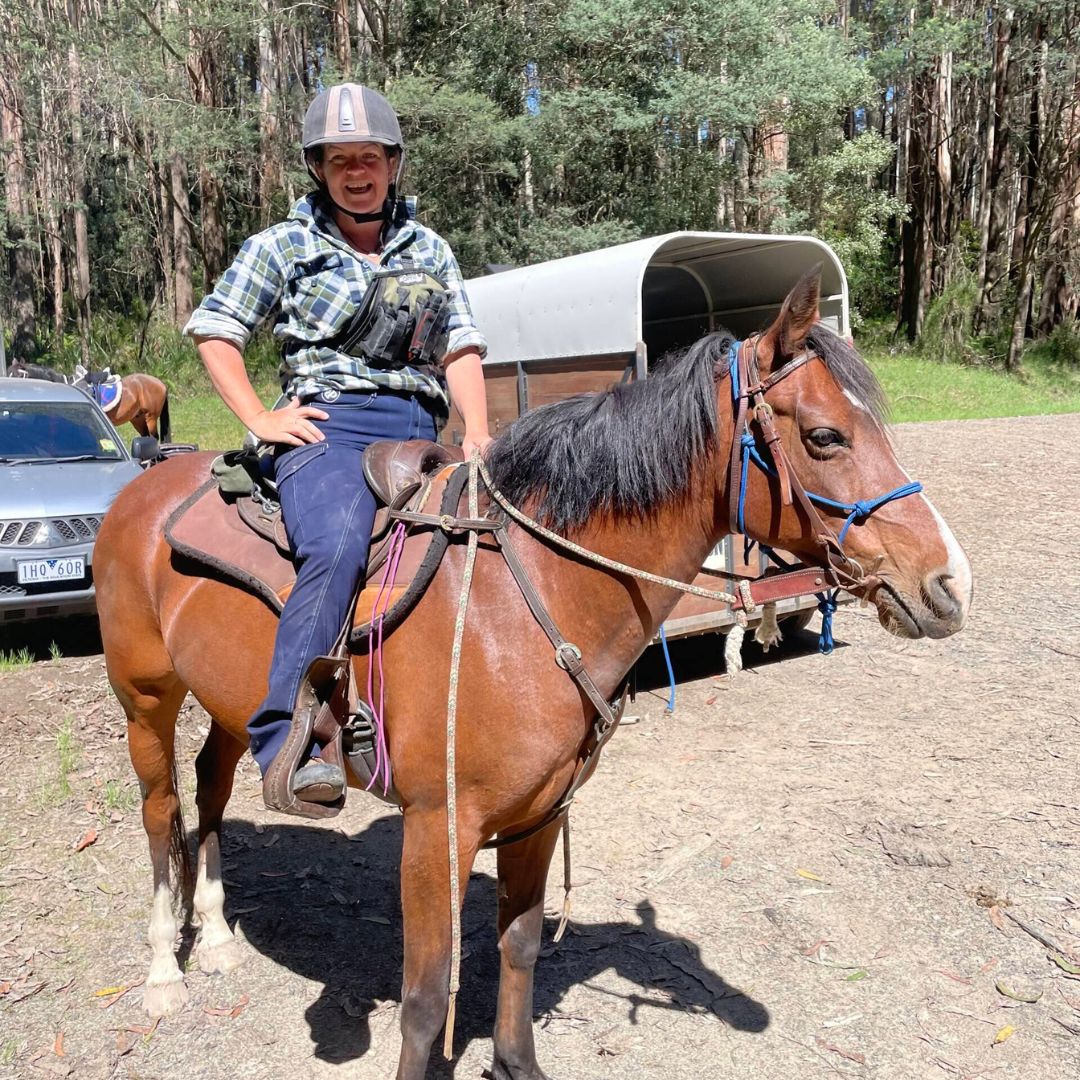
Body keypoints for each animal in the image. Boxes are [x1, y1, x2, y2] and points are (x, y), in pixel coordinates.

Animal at [92, 272, 972, 1080]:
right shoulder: (437, 830)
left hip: (228, 705)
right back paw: (164, 969)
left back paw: (215, 937)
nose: (950, 583)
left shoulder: (538, 816)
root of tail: (149, 478)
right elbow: (426, 999)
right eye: (824, 437)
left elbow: (518, 948)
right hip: (145, 699)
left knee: (210, 786)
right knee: (160, 811)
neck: (524, 598)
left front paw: (516, 1061)